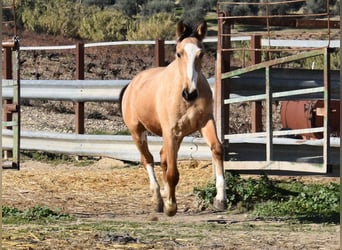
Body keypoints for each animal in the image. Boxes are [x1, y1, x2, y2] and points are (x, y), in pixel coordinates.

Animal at [120, 21, 227, 217]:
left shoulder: (205, 122)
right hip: (137, 131)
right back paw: (158, 199)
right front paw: (171, 206)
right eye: (179, 53)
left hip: (178, 136)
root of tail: (132, 83)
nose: (190, 93)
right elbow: (172, 173)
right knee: (147, 159)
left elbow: (217, 149)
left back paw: (163, 193)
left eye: (201, 53)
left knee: (162, 157)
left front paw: (220, 199)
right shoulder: (171, 131)